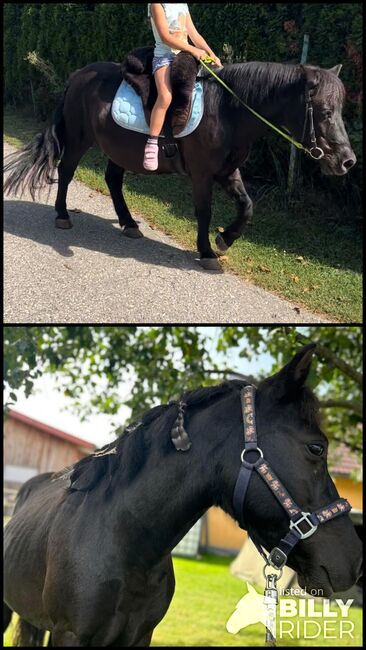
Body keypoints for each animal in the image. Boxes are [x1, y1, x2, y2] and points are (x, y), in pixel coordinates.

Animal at [2, 55, 356, 268]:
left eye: (339, 111)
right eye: (326, 112)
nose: (347, 162)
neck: (228, 111)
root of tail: (78, 75)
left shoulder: (228, 171)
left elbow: (247, 206)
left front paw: (225, 239)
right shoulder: (201, 173)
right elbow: (204, 211)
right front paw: (207, 251)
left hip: (118, 148)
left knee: (113, 180)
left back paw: (129, 223)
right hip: (79, 139)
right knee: (66, 171)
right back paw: (63, 215)